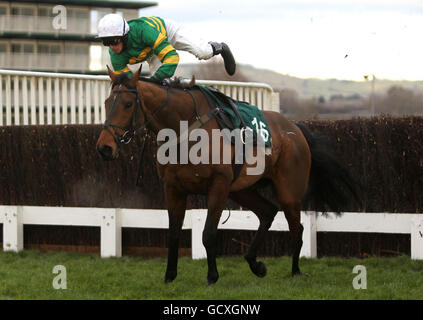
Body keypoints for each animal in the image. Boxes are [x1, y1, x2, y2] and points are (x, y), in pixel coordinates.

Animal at [97, 66, 362, 284]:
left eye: (127, 104)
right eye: (107, 102)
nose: (104, 147)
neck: (186, 129)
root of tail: (295, 128)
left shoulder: (219, 185)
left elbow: (208, 233)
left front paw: (212, 276)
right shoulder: (173, 188)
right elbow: (173, 234)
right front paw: (169, 276)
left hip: (288, 192)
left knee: (297, 230)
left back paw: (296, 271)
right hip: (243, 190)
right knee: (268, 212)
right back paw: (255, 263)